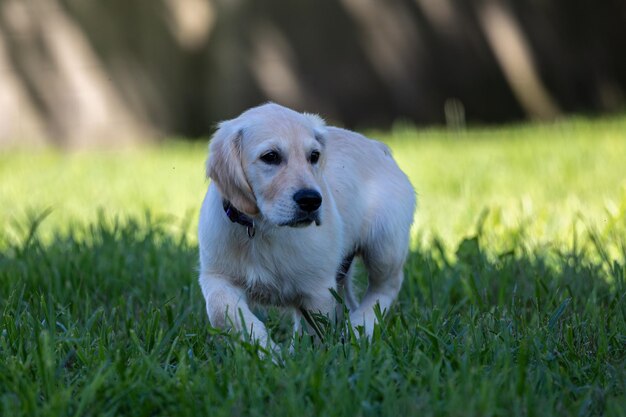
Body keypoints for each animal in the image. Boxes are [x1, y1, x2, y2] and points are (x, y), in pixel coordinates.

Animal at [199, 102, 414, 346]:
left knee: (385, 287)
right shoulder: (216, 276)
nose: (311, 200)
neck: (263, 227)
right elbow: (221, 311)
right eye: (270, 156)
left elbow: (313, 330)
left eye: (314, 156)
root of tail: (379, 147)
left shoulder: (317, 288)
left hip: (384, 243)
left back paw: (360, 326)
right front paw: (262, 345)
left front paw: (297, 353)